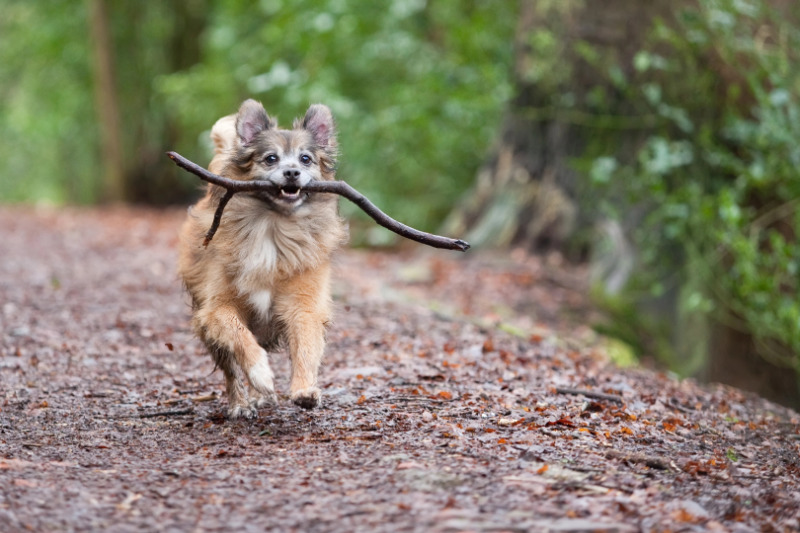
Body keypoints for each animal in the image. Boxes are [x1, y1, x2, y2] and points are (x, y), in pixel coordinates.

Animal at [178, 97, 346, 418]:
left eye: (305, 159)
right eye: (270, 158)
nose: (292, 173)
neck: (274, 227)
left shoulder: (304, 305)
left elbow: (306, 346)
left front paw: (304, 389)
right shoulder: (217, 308)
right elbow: (241, 340)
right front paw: (260, 374)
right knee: (231, 367)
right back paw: (241, 402)